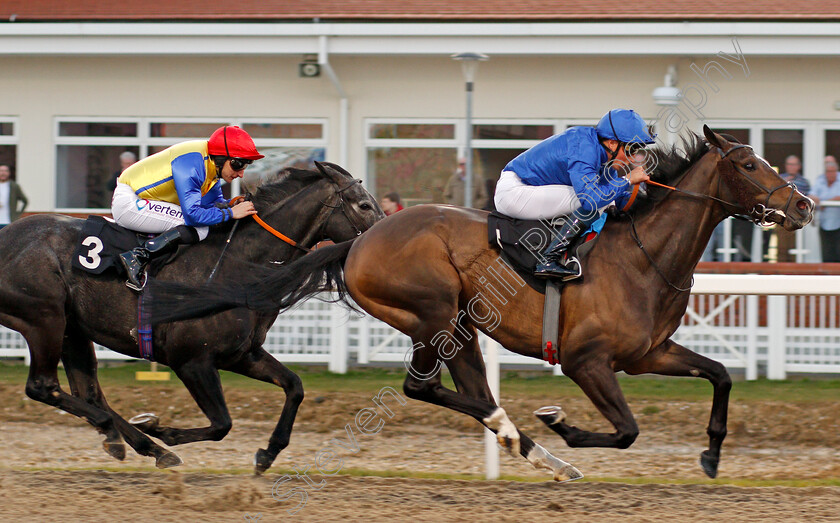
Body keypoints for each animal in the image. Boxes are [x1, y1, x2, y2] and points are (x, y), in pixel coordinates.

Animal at [0, 164, 384, 474]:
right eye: (364, 205)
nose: (385, 236)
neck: (239, 264)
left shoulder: (242, 354)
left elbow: (294, 386)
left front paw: (267, 454)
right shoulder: (191, 361)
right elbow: (222, 424)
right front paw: (161, 429)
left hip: (73, 329)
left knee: (90, 393)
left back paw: (137, 443)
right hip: (44, 319)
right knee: (43, 386)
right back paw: (127, 434)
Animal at [148, 128, 812, 484]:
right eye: (749, 164)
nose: (804, 205)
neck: (642, 257)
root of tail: (361, 237)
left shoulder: (648, 354)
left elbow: (721, 376)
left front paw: (711, 456)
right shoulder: (587, 361)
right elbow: (625, 430)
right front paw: (563, 424)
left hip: (461, 325)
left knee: (468, 394)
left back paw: (532, 449)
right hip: (434, 312)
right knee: (426, 388)